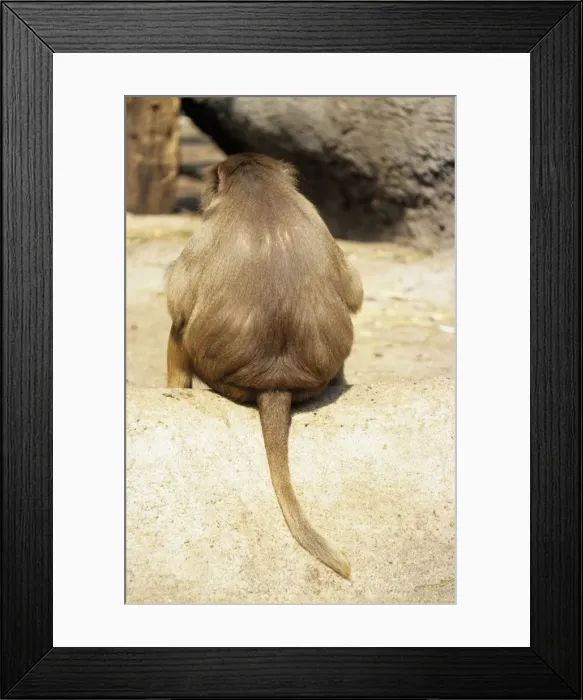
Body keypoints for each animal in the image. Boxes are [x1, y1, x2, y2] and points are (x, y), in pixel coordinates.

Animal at [165, 153, 363, 578]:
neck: (259, 189)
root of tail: (277, 380)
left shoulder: (207, 229)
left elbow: (179, 304)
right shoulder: (313, 211)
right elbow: (353, 292)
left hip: (214, 371)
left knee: (181, 326)